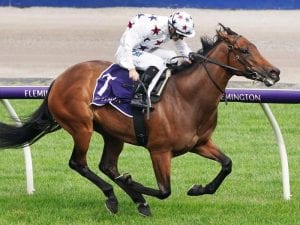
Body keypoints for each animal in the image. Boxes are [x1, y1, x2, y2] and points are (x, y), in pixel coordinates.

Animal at [0, 24, 278, 216]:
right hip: (81, 127)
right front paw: (132, 183)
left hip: (112, 134)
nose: (274, 72)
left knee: (107, 166)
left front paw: (198, 189)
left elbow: (227, 164)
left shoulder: (200, 143)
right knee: (78, 163)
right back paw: (115, 197)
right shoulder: (159, 150)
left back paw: (135, 199)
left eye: (255, 47)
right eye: (244, 50)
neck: (187, 97)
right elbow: (165, 191)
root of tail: (58, 79)